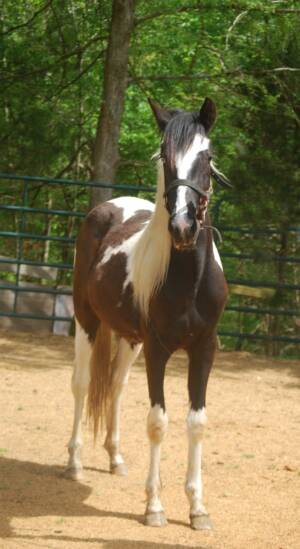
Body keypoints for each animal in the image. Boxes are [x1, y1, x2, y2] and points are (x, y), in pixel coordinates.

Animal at [65, 96, 229, 528]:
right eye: (164, 157)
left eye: (207, 157)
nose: (184, 227)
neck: (188, 280)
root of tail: (107, 208)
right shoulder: (158, 349)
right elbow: (158, 422)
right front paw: (154, 506)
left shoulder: (204, 349)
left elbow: (196, 422)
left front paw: (198, 509)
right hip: (87, 322)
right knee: (82, 384)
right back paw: (73, 463)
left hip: (128, 338)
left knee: (116, 388)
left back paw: (116, 458)